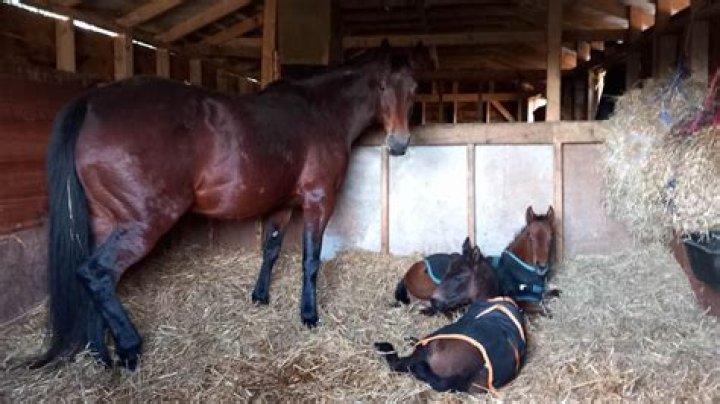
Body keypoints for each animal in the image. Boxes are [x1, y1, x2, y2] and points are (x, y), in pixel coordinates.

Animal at [33, 42, 417, 370]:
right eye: (383, 86)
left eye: (413, 88)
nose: (399, 144)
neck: (320, 111)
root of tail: (92, 102)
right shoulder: (318, 201)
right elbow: (310, 261)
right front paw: (308, 315)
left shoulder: (282, 205)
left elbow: (271, 250)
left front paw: (260, 297)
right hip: (142, 224)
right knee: (96, 274)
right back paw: (129, 347)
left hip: (104, 222)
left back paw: (101, 354)